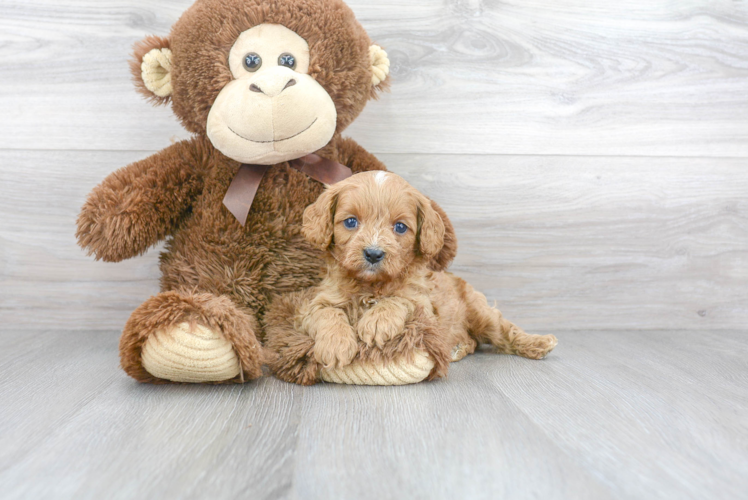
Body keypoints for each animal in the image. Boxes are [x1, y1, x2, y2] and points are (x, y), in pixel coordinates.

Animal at [274, 170, 556, 376]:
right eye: (351, 222)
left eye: (400, 227)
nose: (373, 254)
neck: (371, 286)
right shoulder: (315, 304)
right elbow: (327, 313)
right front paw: (335, 345)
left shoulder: (424, 308)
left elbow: (401, 300)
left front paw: (377, 322)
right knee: (474, 341)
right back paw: (457, 347)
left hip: (481, 314)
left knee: (505, 330)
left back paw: (538, 343)